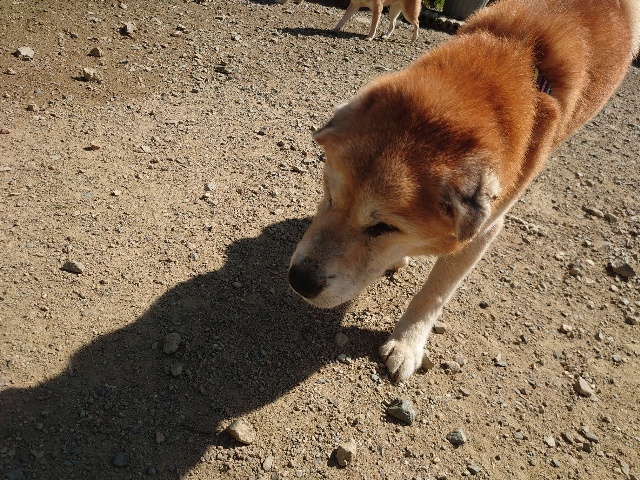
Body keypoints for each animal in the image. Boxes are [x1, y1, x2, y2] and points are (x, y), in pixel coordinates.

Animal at [288, 0, 640, 382]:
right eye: (329, 193)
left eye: (385, 227)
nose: (299, 281)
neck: (514, 58)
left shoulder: (484, 230)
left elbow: (434, 293)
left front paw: (407, 343)